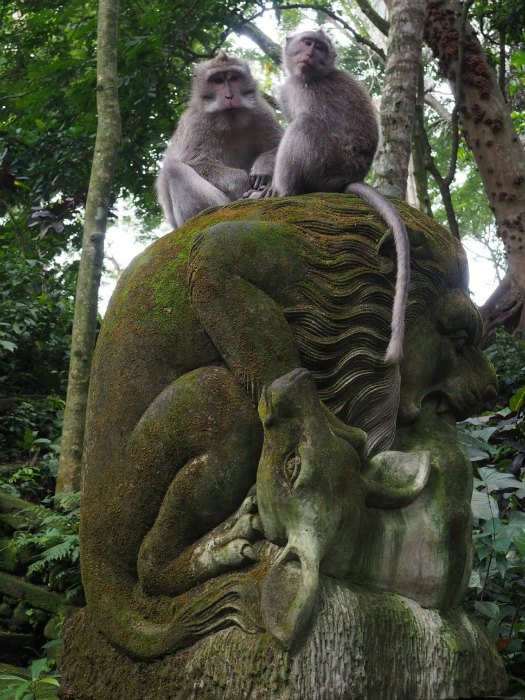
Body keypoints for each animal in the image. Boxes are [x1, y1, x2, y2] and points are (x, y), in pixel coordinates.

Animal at [156, 52, 283, 229]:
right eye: (217, 81)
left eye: (234, 78)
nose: (229, 96)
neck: (230, 120)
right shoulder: (196, 122)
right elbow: (196, 163)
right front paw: (241, 181)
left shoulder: (262, 111)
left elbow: (282, 143)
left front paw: (263, 165)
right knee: (173, 169)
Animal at [247, 30, 409, 365]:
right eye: (307, 43)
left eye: (320, 46)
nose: (311, 52)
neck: (309, 76)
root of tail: (348, 179)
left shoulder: (308, 92)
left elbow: (303, 121)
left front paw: (272, 184)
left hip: (326, 163)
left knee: (305, 125)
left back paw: (282, 191)